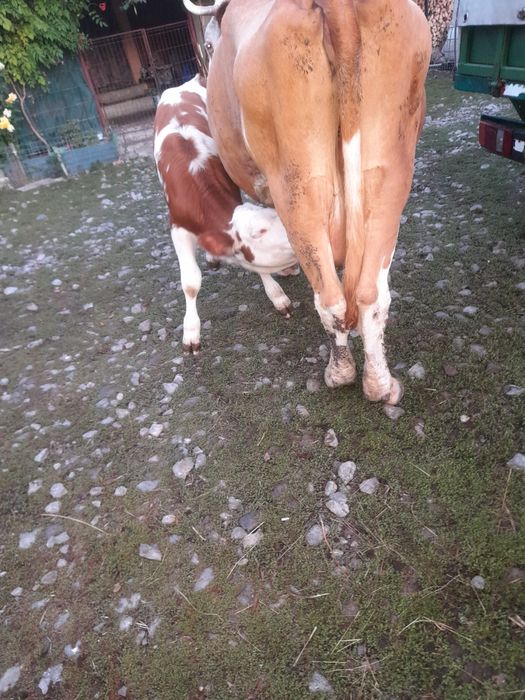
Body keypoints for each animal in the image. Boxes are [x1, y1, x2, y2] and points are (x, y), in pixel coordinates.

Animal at [153, 74, 298, 353]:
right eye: (260, 231)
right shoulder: (177, 227)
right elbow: (190, 282)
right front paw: (191, 332)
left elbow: (259, 269)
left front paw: (278, 296)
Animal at [182, 0, 431, 404]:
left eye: (206, 43)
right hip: (389, 174)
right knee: (370, 295)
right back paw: (380, 383)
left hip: (298, 182)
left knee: (331, 298)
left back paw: (339, 372)